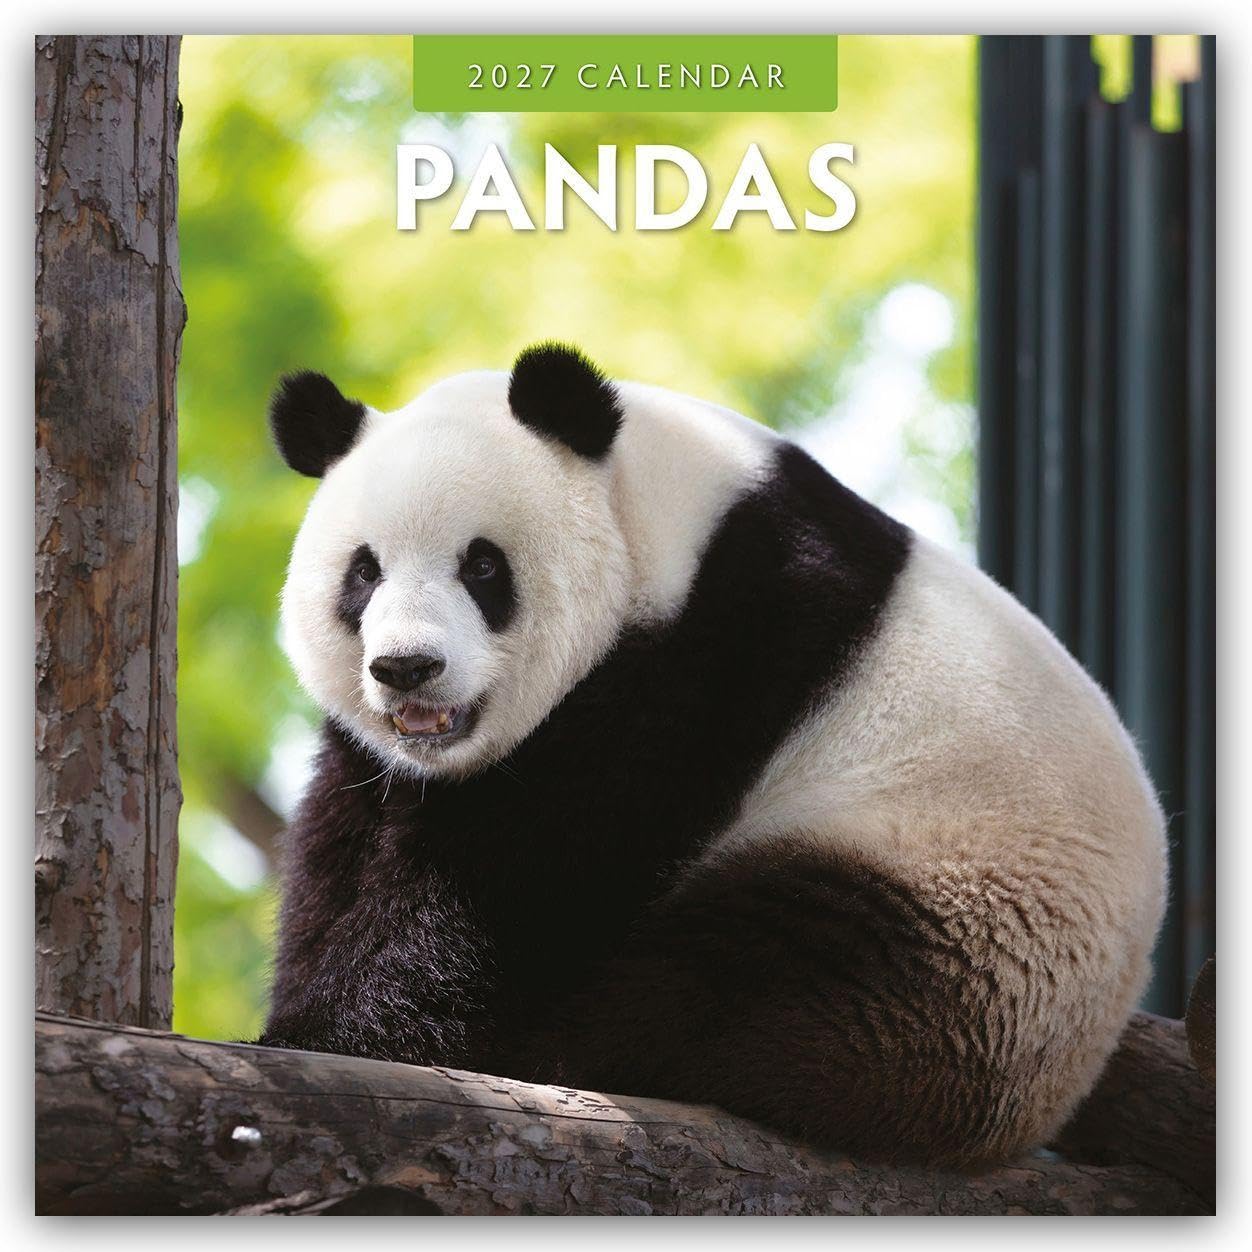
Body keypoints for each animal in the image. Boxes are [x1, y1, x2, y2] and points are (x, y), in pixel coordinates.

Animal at [261, 342, 1166, 1167]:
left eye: (482, 565)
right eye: (364, 573)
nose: (407, 667)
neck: (652, 506)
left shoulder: (717, 644)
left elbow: (528, 874)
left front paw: (347, 1034)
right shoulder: (383, 762)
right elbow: (347, 846)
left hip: (950, 911)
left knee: (746, 982)